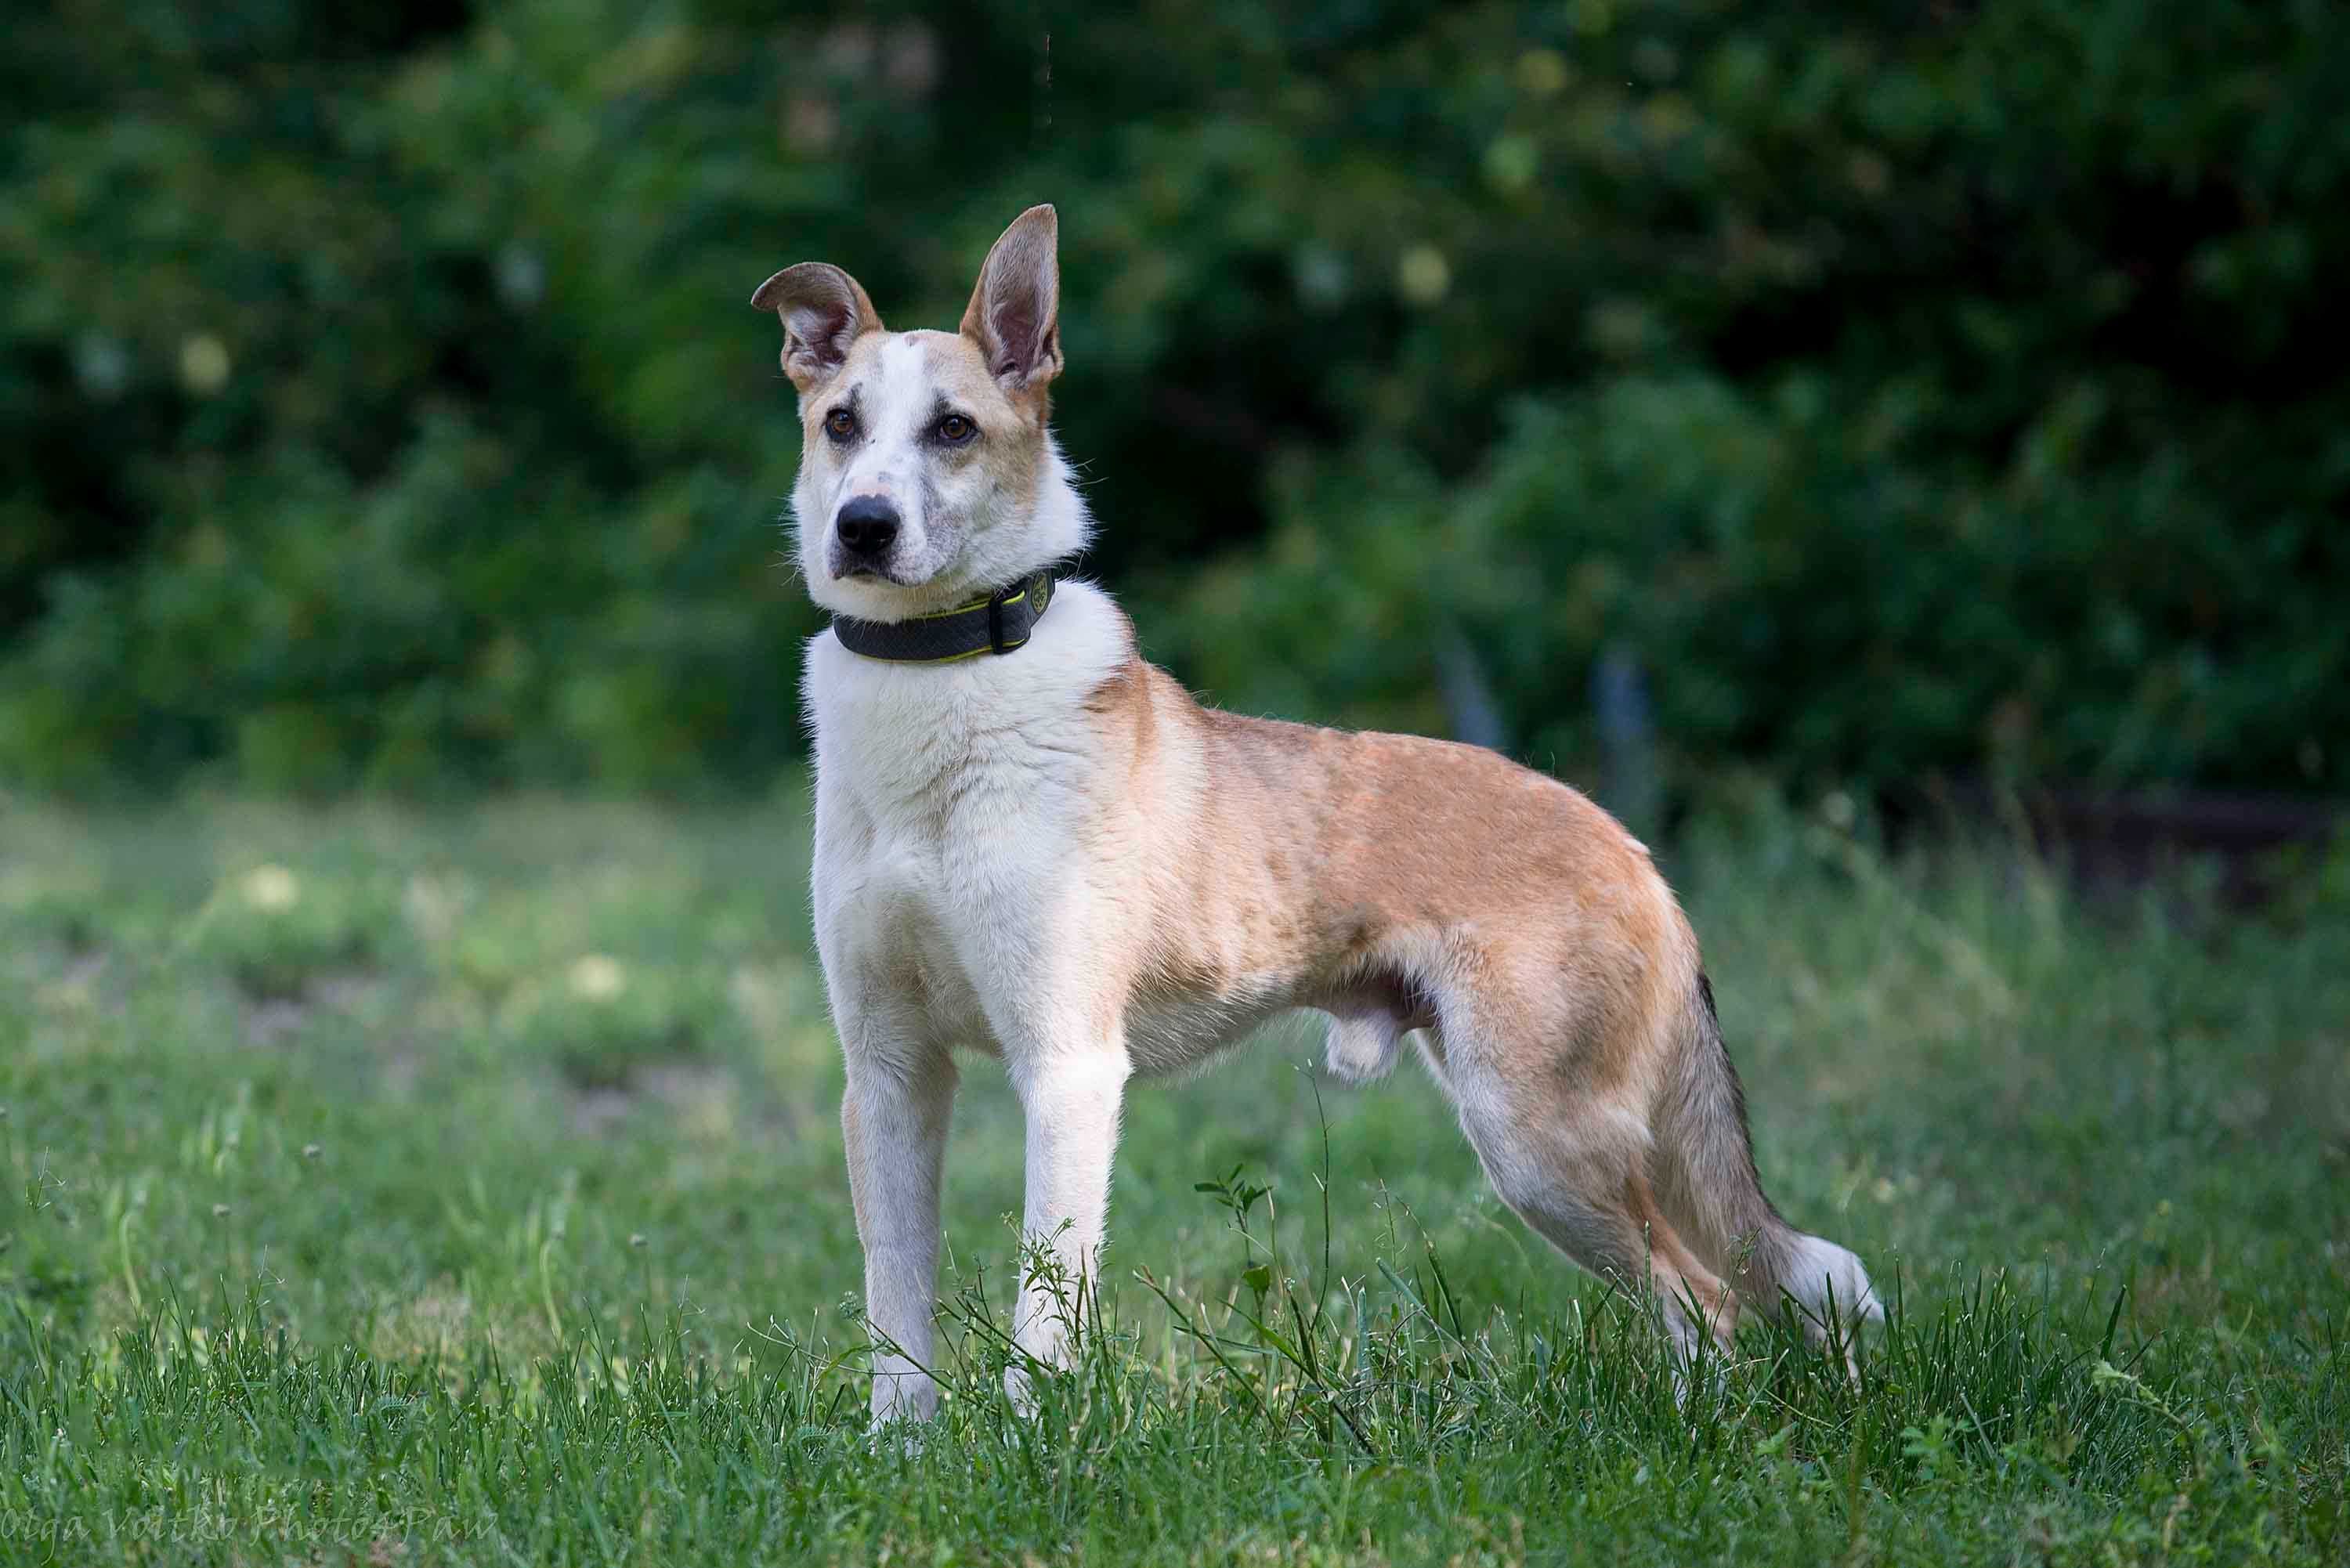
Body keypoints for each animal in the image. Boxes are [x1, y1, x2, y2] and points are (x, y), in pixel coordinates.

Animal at [747, 205, 1871, 1419]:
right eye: (842, 423)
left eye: (953, 428)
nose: (862, 527)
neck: (942, 684)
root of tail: (1632, 846)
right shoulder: (890, 1075)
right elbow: (896, 1314)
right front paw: (902, 1455)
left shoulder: (1068, 1067)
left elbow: (1043, 1309)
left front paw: (1028, 1445)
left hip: (1540, 1143)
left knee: (1707, 1304)